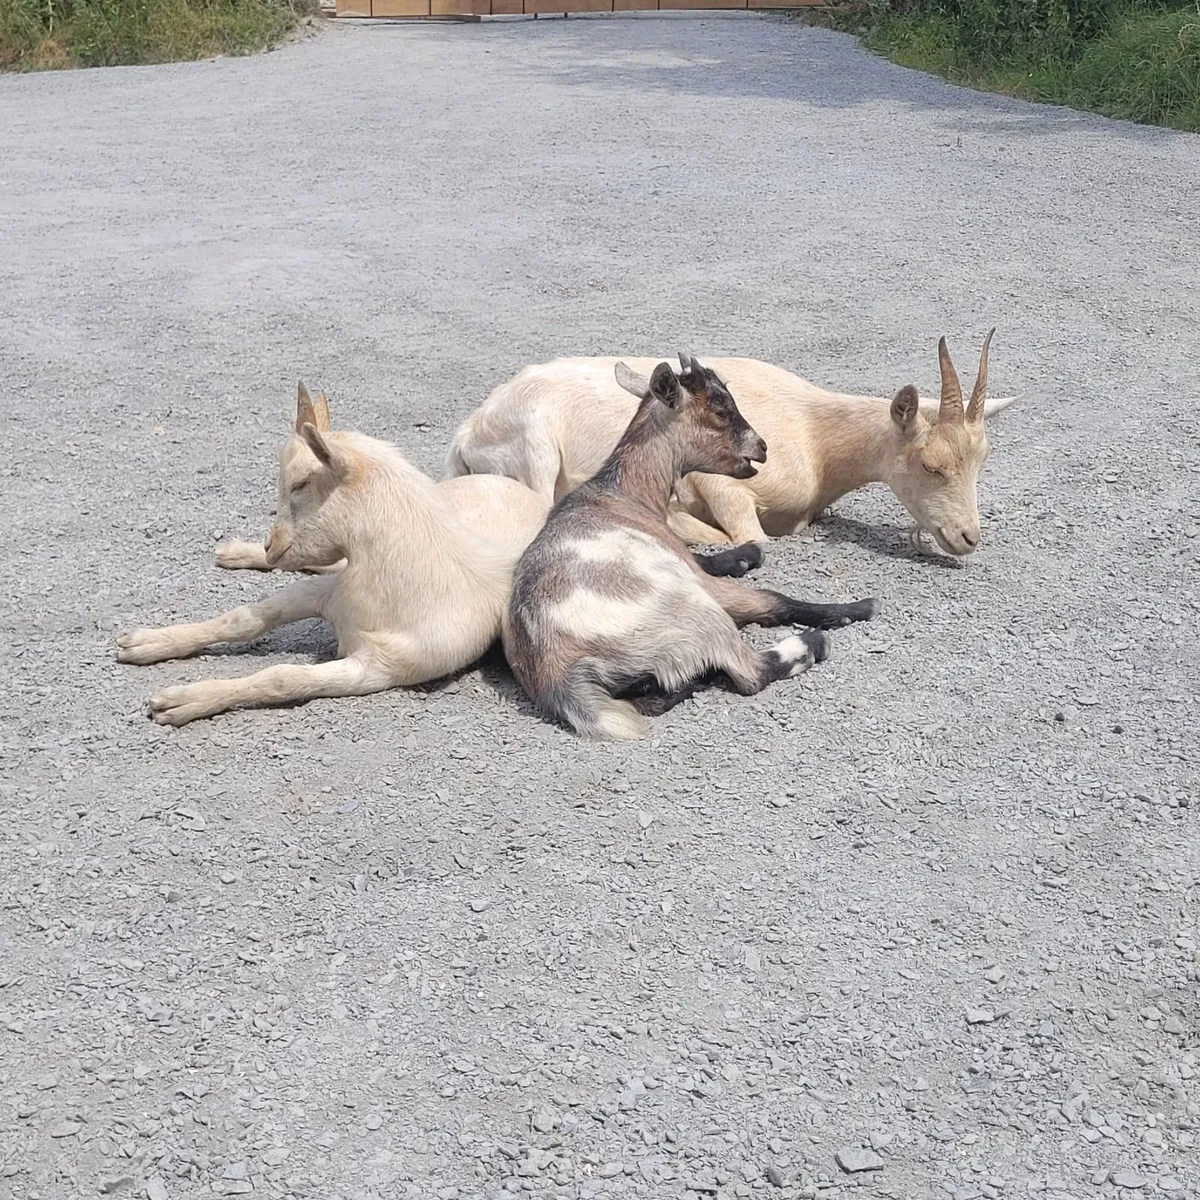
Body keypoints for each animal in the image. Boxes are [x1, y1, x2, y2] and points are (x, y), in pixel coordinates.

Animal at [117, 385, 550, 725]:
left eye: (300, 484)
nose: (272, 545)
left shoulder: (379, 669)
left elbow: (281, 677)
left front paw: (183, 701)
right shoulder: (323, 593)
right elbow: (245, 619)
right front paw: (147, 643)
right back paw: (239, 553)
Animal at [445, 332, 1014, 557]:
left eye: (981, 461)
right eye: (931, 464)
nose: (967, 537)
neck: (817, 437)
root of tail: (470, 430)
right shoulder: (724, 483)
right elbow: (749, 537)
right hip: (537, 452)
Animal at [503, 354, 880, 742]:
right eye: (720, 408)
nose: (761, 447)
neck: (624, 495)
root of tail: (559, 673)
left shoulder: (681, 552)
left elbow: (707, 558)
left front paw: (747, 555)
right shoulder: (699, 580)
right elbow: (774, 600)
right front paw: (856, 608)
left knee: (653, 698)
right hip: (696, 615)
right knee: (750, 672)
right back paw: (811, 643)